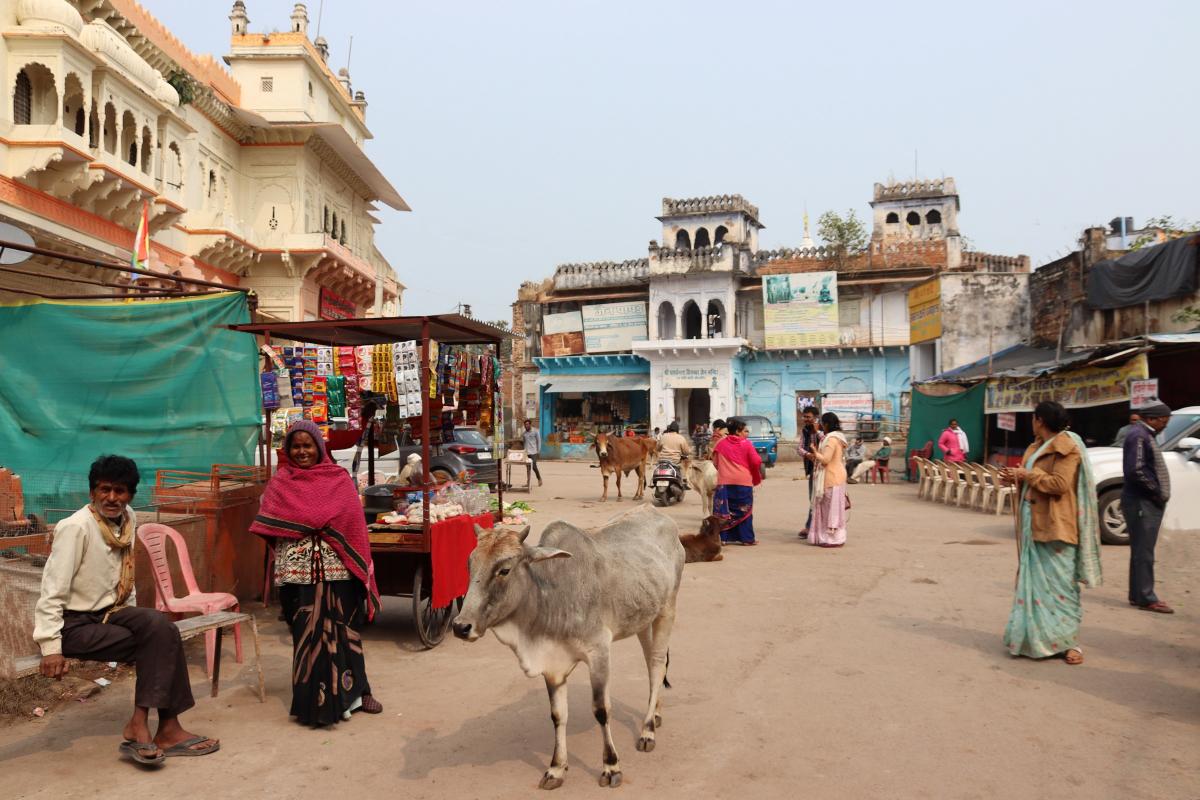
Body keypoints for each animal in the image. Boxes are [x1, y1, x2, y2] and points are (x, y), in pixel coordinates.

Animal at [451, 506, 686, 786]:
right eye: (469, 564)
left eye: (504, 570)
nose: (460, 626)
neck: (552, 596)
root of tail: (655, 511)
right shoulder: (553, 667)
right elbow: (558, 715)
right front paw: (556, 768)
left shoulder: (599, 652)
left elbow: (601, 710)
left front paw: (611, 766)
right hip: (642, 618)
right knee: (652, 665)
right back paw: (656, 714)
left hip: (668, 609)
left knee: (657, 664)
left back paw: (648, 731)